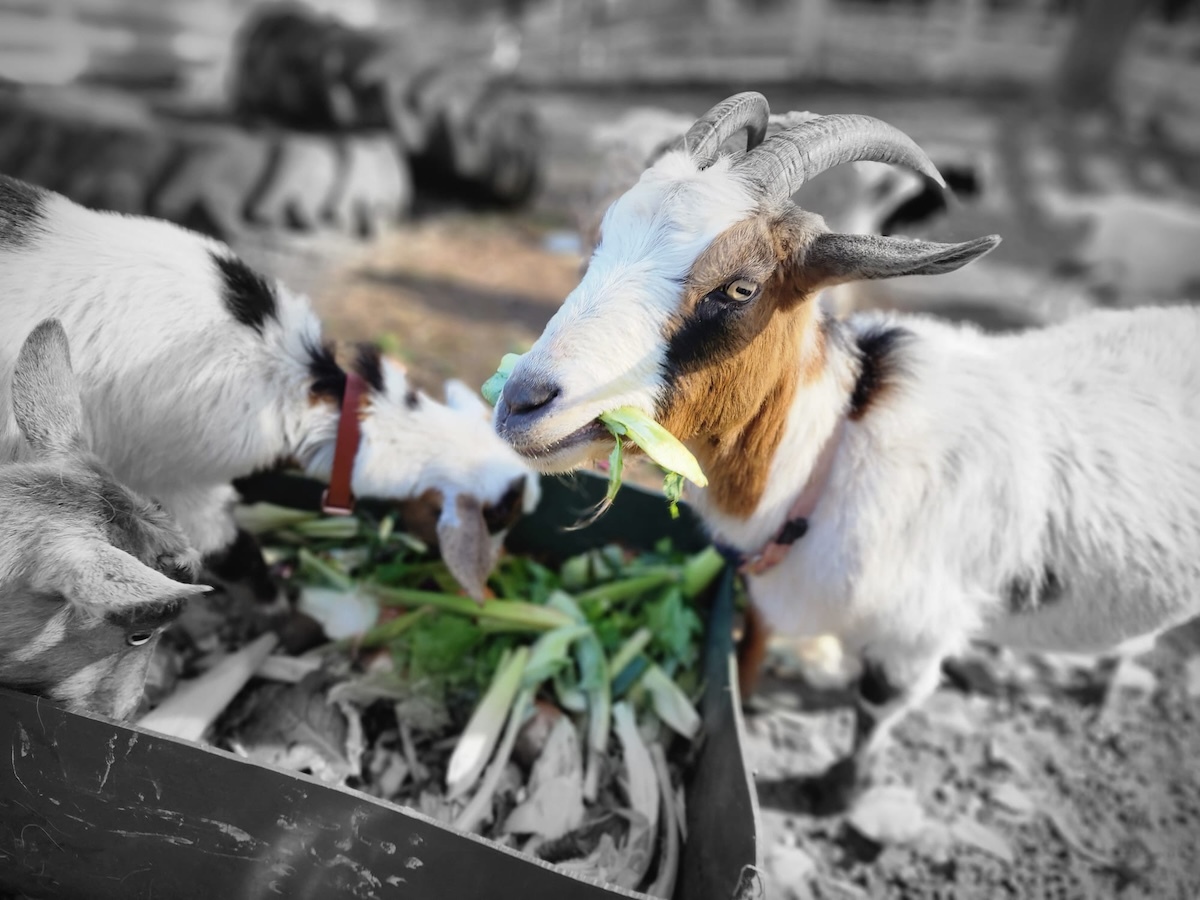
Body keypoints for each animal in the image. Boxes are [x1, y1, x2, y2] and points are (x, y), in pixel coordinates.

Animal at [0, 173, 539, 600]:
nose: (492, 575)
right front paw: (269, 591)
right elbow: (223, 542)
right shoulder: (174, 471)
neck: (300, 386)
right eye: (500, 517)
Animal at [493, 92, 1200, 809]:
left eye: (740, 288)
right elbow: (750, 655)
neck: (829, 452)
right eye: (601, 241)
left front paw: (840, 792)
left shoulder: (916, 634)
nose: (522, 400)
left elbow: (877, 704)